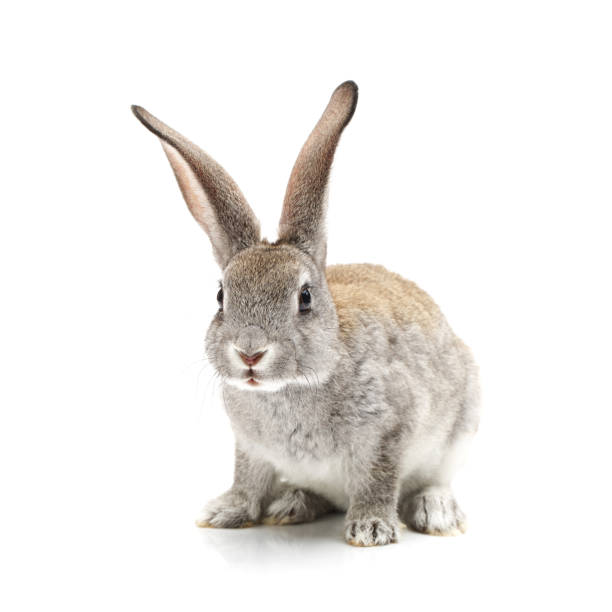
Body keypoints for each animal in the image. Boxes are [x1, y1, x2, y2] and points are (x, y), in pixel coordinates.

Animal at [131, 80, 480, 544]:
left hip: (461, 428)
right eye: (222, 296)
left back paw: (435, 511)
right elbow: (247, 479)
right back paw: (292, 504)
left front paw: (371, 528)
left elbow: (379, 480)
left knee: (434, 481)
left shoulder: (389, 432)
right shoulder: (251, 448)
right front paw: (225, 511)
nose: (250, 352)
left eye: (305, 297)